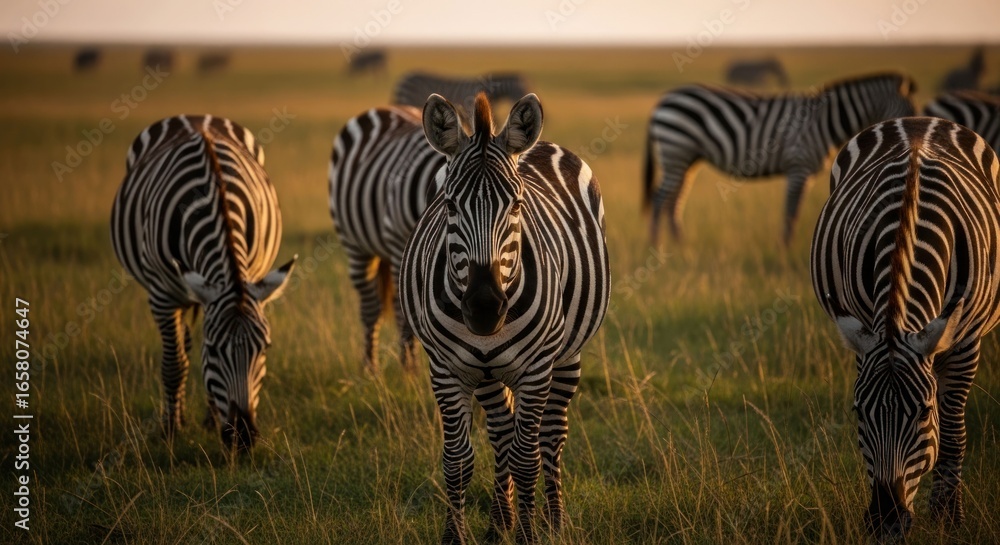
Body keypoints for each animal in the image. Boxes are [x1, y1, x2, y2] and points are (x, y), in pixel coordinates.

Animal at [111, 115, 295, 451]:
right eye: (213, 349)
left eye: (265, 348)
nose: (243, 437)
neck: (215, 197)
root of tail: (194, 118)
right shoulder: (161, 295)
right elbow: (174, 364)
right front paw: (170, 429)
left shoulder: (253, 275)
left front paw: (211, 420)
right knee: (180, 349)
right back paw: (179, 417)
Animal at [328, 105, 447, 371]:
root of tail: (383, 108)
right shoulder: (399, 243)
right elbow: (406, 309)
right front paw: (410, 368)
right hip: (356, 245)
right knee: (371, 308)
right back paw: (370, 367)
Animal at [400, 93, 610, 544]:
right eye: (449, 205)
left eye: (516, 204)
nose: (483, 308)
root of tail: (539, 144)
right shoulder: (446, 369)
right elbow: (458, 461)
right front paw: (456, 536)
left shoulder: (535, 369)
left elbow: (526, 458)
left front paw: (528, 536)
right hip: (487, 373)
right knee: (501, 435)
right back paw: (499, 523)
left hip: (565, 357)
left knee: (550, 437)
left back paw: (553, 519)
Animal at [643, 72, 916, 245]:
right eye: (911, 114)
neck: (824, 122)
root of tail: (664, 100)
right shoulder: (799, 166)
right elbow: (791, 211)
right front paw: (785, 248)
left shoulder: (803, 172)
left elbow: (792, 210)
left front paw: (785, 246)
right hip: (675, 151)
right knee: (660, 198)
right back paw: (656, 246)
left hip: (688, 159)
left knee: (674, 200)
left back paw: (680, 244)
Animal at [811, 117, 1000, 539]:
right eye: (858, 412)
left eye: (923, 412)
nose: (886, 522)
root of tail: (918, 120)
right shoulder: (866, 331)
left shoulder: (965, 342)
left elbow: (953, 433)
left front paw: (948, 519)